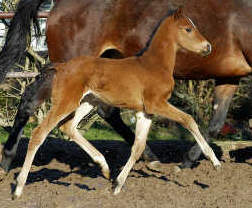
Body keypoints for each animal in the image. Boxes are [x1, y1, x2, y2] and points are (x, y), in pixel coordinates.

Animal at [0, 0, 252, 171]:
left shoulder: (229, 77)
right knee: (31, 99)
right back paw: (7, 159)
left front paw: (189, 161)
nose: (208, 47)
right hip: (69, 69)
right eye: (189, 28)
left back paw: (149, 157)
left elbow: (216, 123)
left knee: (106, 110)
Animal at [13, 8, 220, 198]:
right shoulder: (157, 104)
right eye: (188, 29)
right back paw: (18, 189)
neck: (154, 65)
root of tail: (62, 67)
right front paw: (215, 161)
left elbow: (138, 148)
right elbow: (188, 119)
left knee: (68, 127)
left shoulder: (145, 112)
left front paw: (117, 185)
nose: (208, 47)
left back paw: (104, 167)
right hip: (66, 102)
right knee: (39, 133)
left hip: (88, 101)